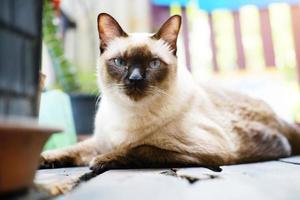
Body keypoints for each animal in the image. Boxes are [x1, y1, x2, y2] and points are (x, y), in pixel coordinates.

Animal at [40, 13, 300, 175]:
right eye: (120, 62)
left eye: (154, 64)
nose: (135, 79)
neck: (127, 114)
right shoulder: (100, 141)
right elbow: (72, 149)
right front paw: (42, 159)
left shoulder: (203, 150)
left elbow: (140, 149)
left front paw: (101, 161)